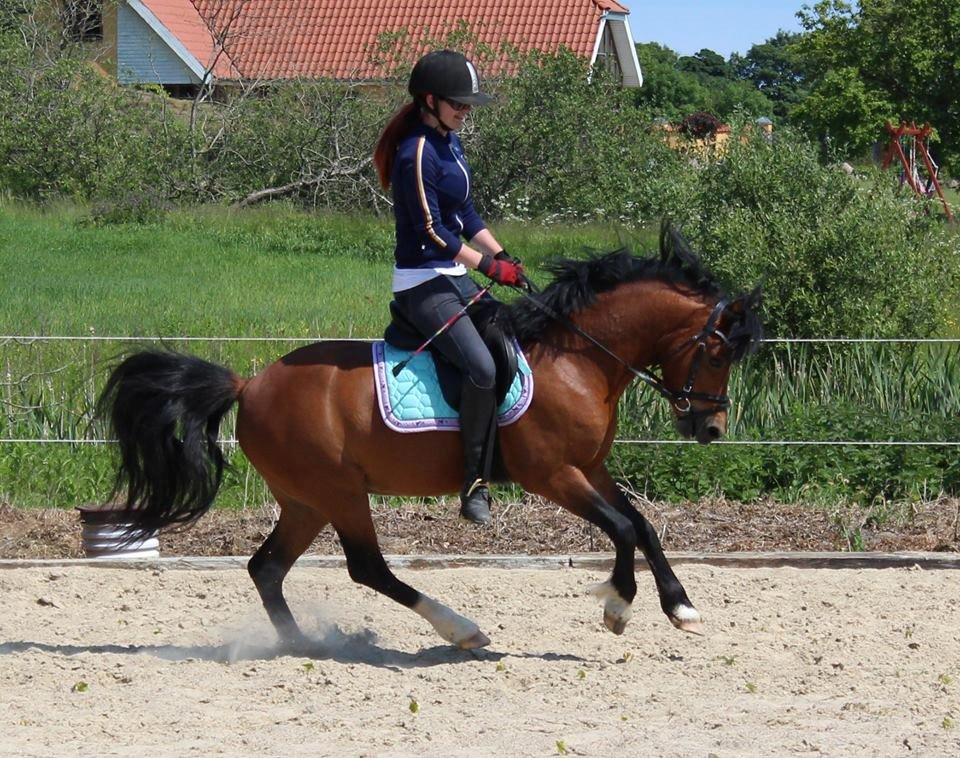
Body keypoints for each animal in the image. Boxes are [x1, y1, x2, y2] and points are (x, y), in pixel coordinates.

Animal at [97, 225, 762, 651]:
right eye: (718, 352)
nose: (710, 428)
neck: (577, 359)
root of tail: (249, 383)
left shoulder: (590, 469)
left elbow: (641, 524)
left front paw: (681, 607)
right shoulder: (552, 476)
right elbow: (622, 528)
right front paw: (618, 606)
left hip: (305, 501)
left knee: (267, 568)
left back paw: (302, 645)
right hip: (338, 492)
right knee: (366, 568)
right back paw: (459, 630)